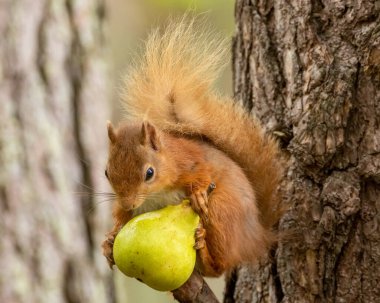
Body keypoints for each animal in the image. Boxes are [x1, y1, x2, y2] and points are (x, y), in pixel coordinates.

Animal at [101, 16, 282, 278]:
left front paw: (197, 194)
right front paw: (109, 240)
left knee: (219, 266)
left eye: (149, 173)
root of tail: (256, 236)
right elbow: (120, 219)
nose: (128, 203)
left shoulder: (190, 160)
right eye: (106, 172)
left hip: (221, 212)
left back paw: (205, 250)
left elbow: (203, 173)